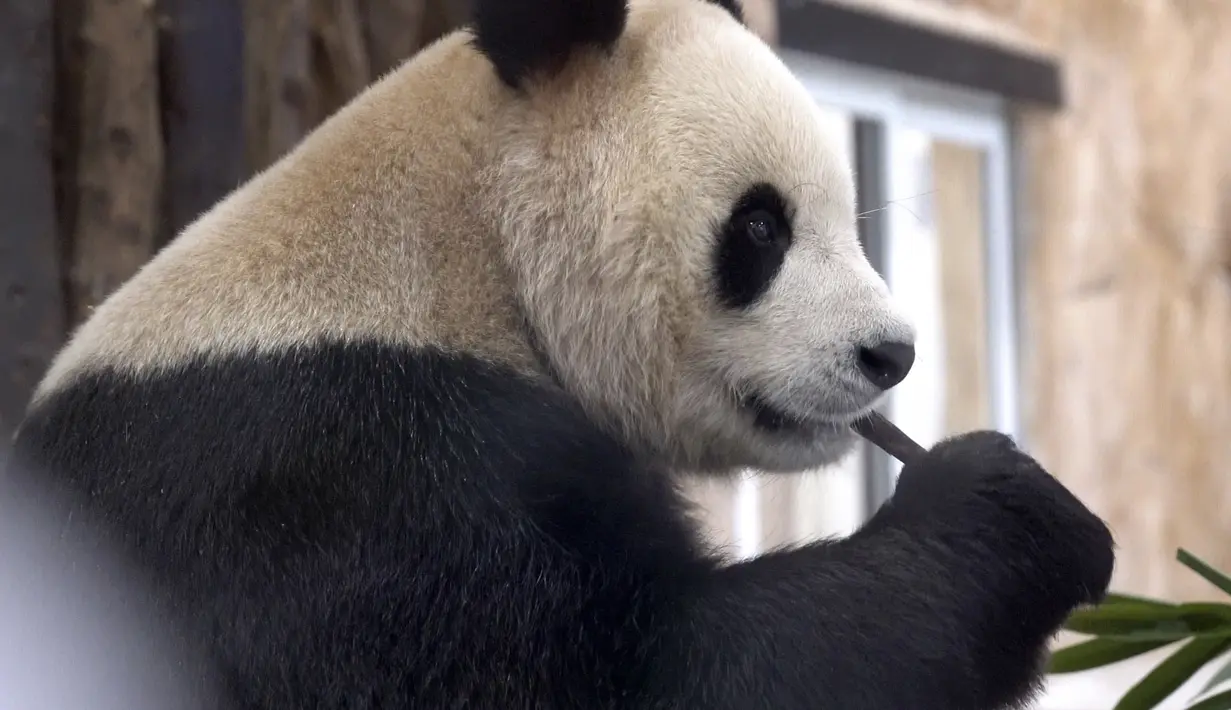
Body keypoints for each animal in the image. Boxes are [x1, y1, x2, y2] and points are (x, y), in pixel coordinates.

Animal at [11, 0, 1115, 707]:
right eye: (760, 227)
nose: (889, 356)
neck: (459, 246)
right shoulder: (334, 479)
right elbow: (653, 676)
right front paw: (1014, 511)